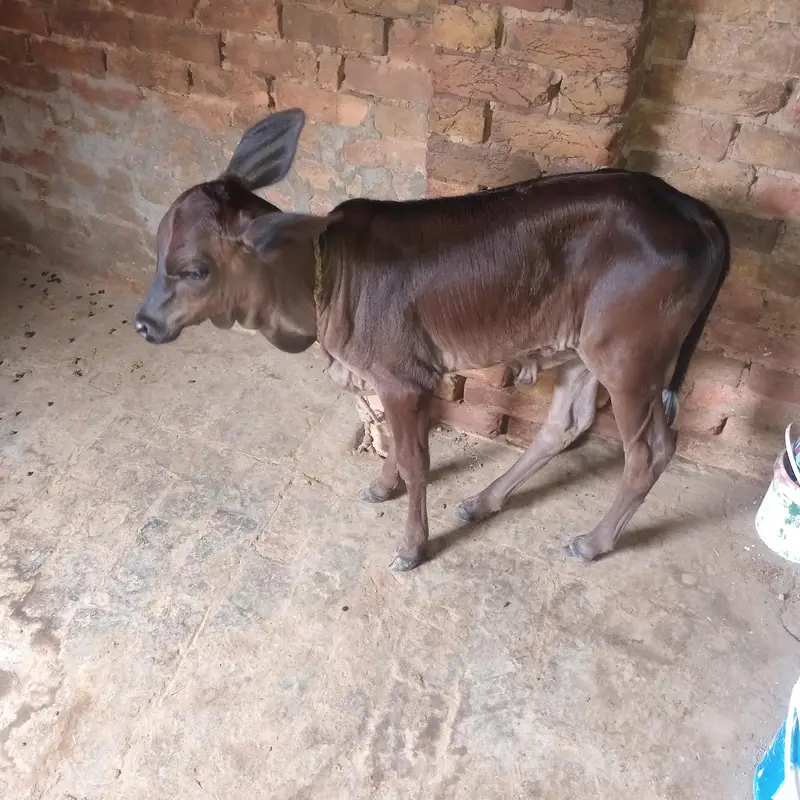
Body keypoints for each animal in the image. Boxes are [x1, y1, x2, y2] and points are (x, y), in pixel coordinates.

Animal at [134, 108, 729, 572]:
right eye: (158, 250)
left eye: (194, 270)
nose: (143, 323)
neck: (324, 282)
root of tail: (692, 208)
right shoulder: (390, 379)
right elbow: (399, 449)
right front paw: (382, 487)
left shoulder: (405, 378)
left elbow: (416, 459)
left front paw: (411, 546)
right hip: (580, 349)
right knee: (566, 426)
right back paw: (484, 500)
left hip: (630, 359)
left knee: (650, 452)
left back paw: (593, 541)